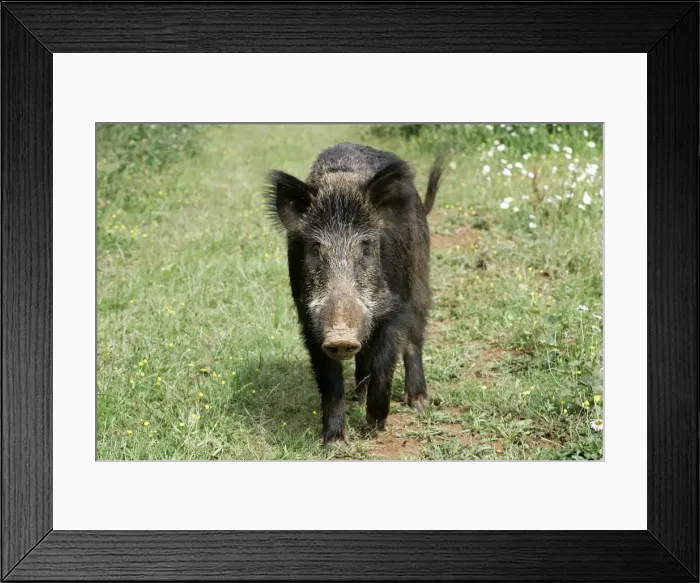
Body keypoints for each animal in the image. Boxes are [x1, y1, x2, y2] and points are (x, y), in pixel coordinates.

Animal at [265, 142, 446, 447]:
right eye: (315, 249)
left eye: (366, 248)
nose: (341, 337)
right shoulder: (308, 318)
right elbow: (330, 383)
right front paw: (334, 441)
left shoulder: (393, 306)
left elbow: (385, 365)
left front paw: (374, 428)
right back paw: (358, 397)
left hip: (419, 275)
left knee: (414, 339)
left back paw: (419, 403)